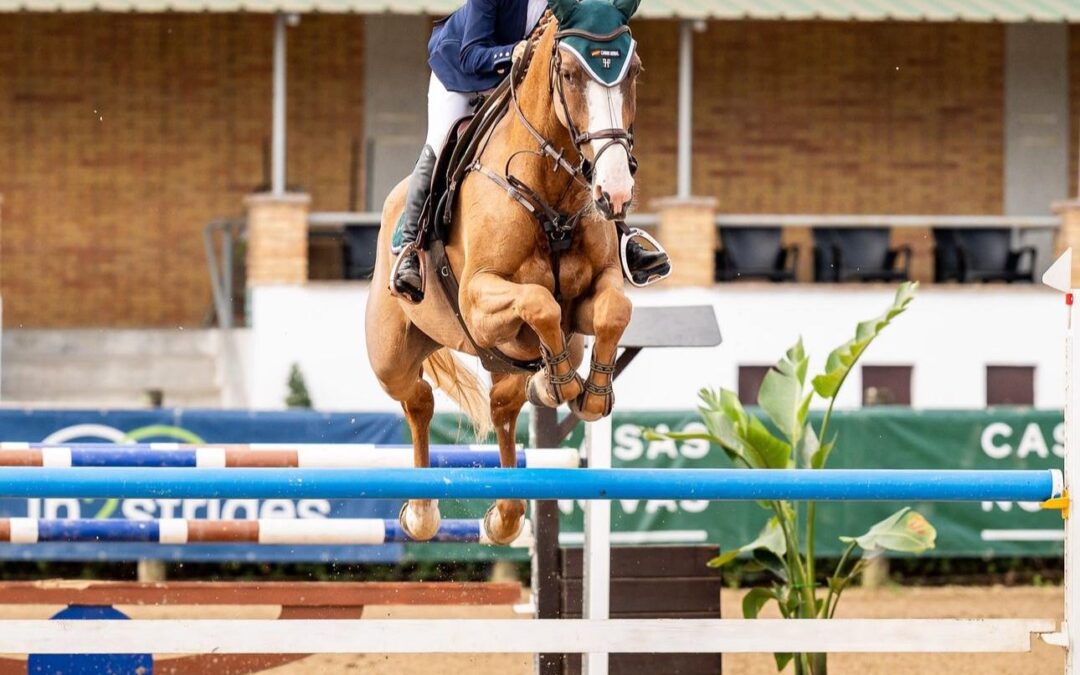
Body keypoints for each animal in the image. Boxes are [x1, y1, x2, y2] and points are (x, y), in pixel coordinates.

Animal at [369, 0, 639, 544]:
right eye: (570, 74)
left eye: (635, 71)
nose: (615, 192)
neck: (551, 188)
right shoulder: (479, 298)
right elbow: (539, 301)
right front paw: (562, 384)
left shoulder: (593, 295)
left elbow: (611, 311)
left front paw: (587, 393)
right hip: (392, 355)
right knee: (417, 399)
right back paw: (421, 513)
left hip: (498, 359)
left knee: (503, 407)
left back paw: (506, 514)